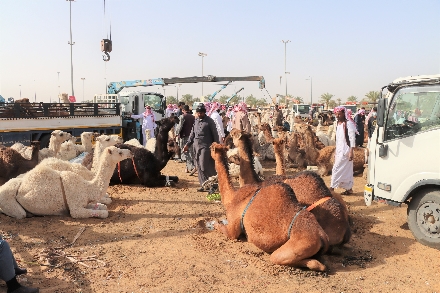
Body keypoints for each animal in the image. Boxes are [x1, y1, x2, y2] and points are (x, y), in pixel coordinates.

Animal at [0, 145, 131, 218]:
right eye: (119, 152)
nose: (130, 152)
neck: (87, 187)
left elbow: (102, 206)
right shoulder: (76, 208)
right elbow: (104, 213)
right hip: (9, 202)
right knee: (20, 213)